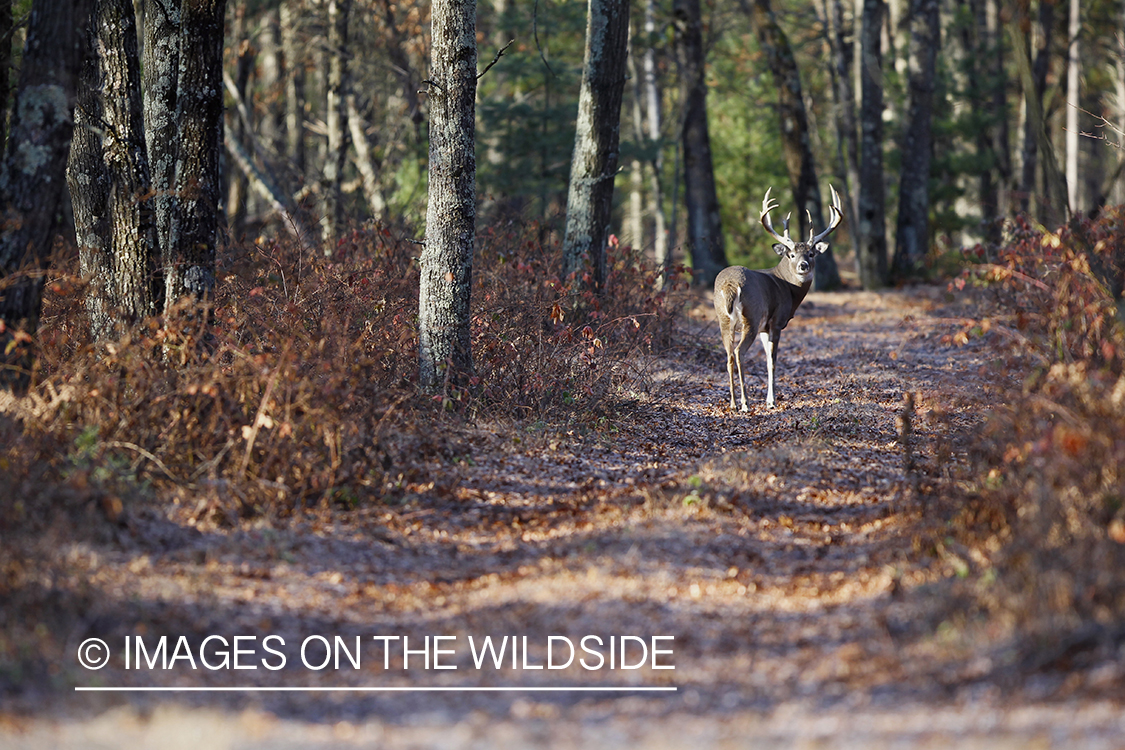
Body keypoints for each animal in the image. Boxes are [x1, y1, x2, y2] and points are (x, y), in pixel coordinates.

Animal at [715, 185, 841, 413]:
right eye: (791, 255)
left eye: (811, 253)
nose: (803, 265)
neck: (787, 287)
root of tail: (729, 285)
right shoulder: (776, 321)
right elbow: (772, 361)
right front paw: (771, 401)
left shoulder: (765, 327)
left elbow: (767, 359)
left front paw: (768, 399)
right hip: (751, 317)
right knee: (739, 352)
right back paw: (745, 404)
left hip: (724, 320)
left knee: (728, 355)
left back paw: (733, 403)